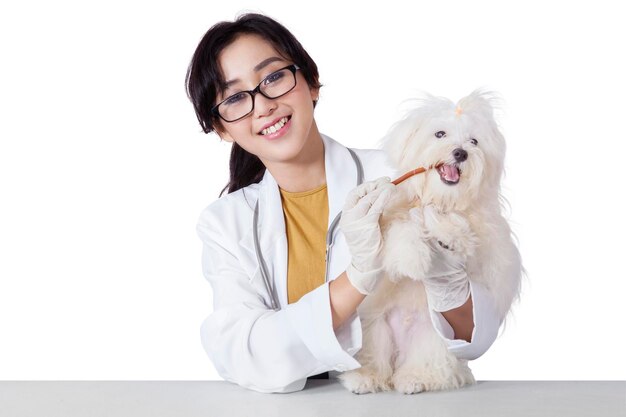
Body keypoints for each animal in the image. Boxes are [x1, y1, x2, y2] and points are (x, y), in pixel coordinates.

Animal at [338, 88, 520, 394]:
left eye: (474, 141)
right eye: (440, 134)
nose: (460, 152)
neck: (439, 199)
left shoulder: (489, 247)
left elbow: (464, 235)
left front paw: (448, 237)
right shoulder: (395, 217)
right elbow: (403, 229)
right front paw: (414, 257)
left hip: (432, 338)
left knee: (431, 364)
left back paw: (414, 379)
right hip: (375, 326)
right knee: (376, 358)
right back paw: (365, 377)